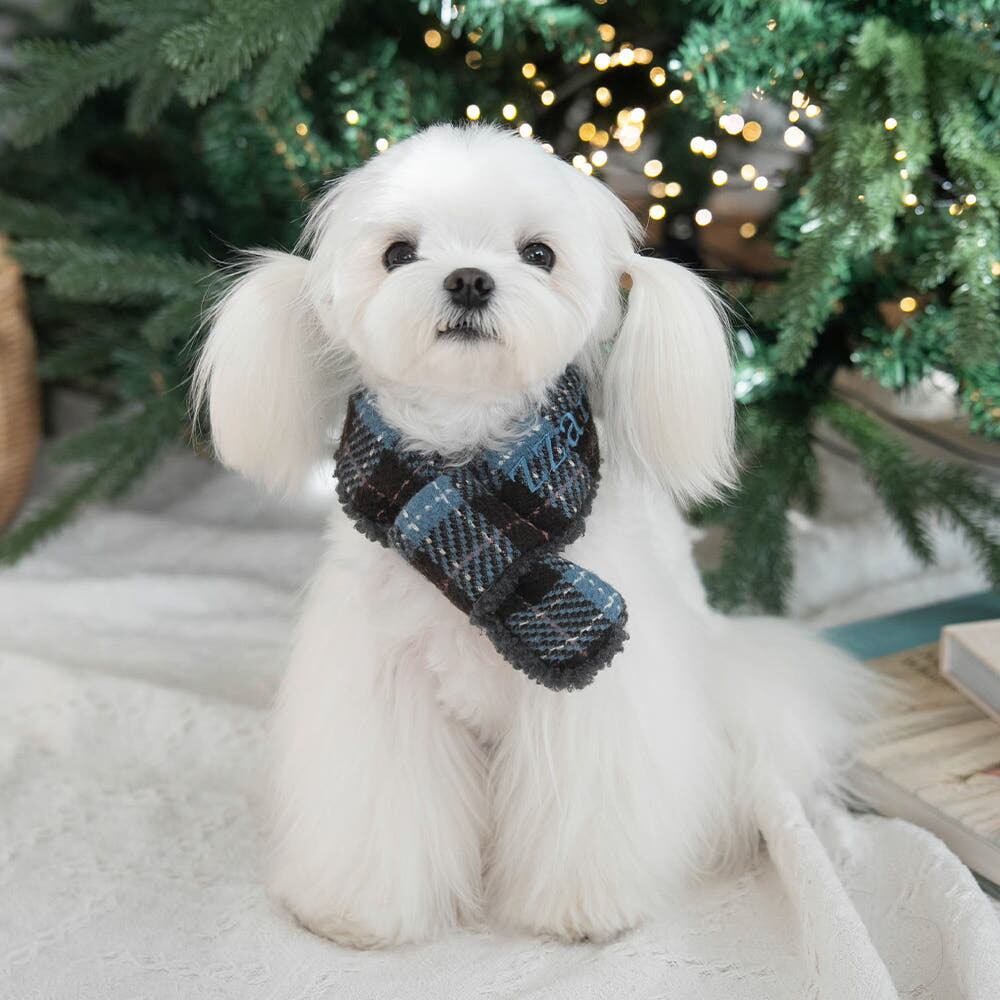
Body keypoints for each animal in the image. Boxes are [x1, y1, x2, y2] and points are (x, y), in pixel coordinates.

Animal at [194, 124, 868, 948]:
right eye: (398, 253)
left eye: (539, 253)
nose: (469, 280)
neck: (473, 515)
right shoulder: (383, 686)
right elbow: (385, 804)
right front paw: (362, 910)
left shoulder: (589, 699)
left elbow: (581, 812)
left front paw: (581, 909)